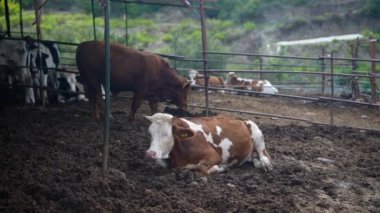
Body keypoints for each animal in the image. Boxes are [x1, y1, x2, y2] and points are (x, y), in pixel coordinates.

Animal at [145, 113, 274, 175]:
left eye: (166, 134)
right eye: (150, 133)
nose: (150, 154)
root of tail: (240, 120)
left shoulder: (213, 155)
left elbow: (201, 167)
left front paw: (221, 168)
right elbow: (161, 162)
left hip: (257, 133)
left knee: (264, 154)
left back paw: (265, 164)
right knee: (252, 158)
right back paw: (256, 162)